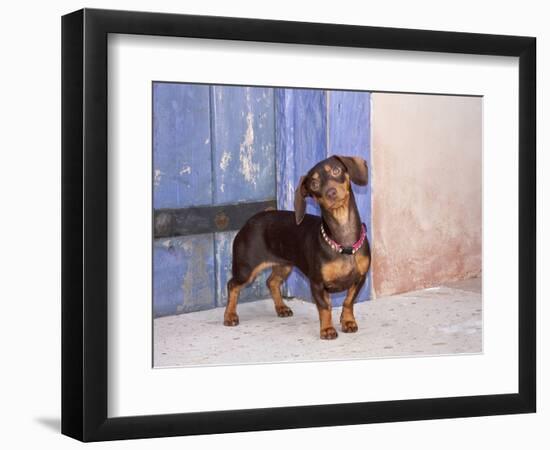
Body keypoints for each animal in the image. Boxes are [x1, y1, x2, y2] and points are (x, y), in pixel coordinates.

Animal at [223, 155, 370, 338]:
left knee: (272, 282)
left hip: (284, 265)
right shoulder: (317, 283)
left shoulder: (360, 279)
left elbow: (349, 301)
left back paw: (281, 308)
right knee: (232, 285)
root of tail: (249, 222)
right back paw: (230, 315)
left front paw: (348, 321)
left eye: (336, 170)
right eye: (314, 184)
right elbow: (325, 307)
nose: (331, 192)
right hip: (246, 270)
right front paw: (327, 329)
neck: (343, 242)